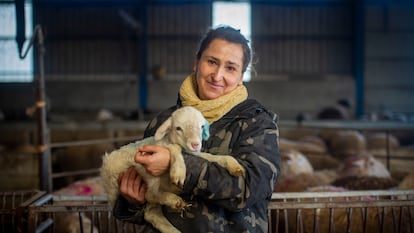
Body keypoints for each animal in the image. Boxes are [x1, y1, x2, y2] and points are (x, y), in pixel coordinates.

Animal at [100, 106, 244, 233]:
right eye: (178, 128)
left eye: (201, 126)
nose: (195, 144)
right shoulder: (159, 149)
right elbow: (175, 147)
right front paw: (179, 172)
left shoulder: (196, 155)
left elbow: (212, 157)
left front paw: (234, 165)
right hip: (139, 172)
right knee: (150, 194)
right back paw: (174, 199)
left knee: (151, 211)